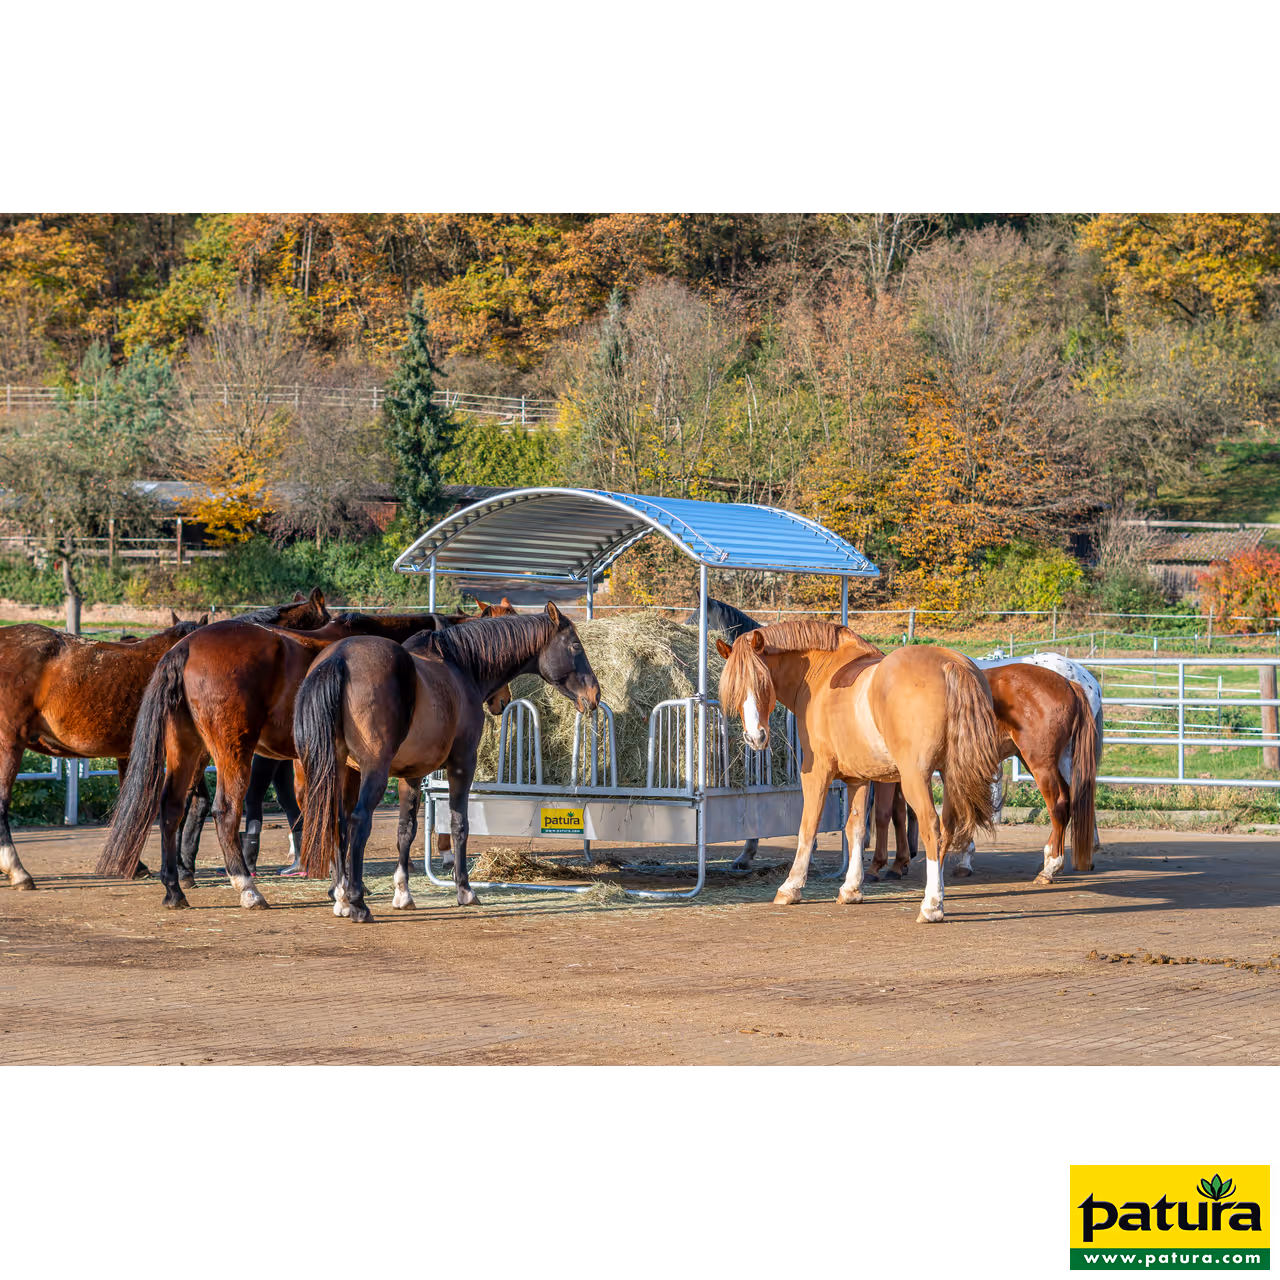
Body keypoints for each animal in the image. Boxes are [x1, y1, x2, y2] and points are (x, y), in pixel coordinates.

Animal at [294, 604, 600, 923]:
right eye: (575, 646)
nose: (595, 695)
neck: (459, 667)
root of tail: (339, 657)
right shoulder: (463, 764)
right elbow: (459, 823)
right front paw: (465, 890)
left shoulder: (410, 775)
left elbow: (406, 830)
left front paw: (403, 893)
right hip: (372, 771)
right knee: (358, 821)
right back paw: (356, 902)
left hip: (338, 770)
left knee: (336, 822)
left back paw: (341, 897)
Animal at [717, 623, 1002, 922]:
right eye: (734, 689)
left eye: (763, 682)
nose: (755, 738)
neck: (821, 674)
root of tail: (950, 663)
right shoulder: (859, 779)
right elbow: (855, 828)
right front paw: (851, 889)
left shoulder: (816, 772)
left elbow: (808, 826)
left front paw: (791, 887)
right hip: (950, 776)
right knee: (948, 828)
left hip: (916, 778)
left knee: (931, 826)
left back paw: (932, 904)